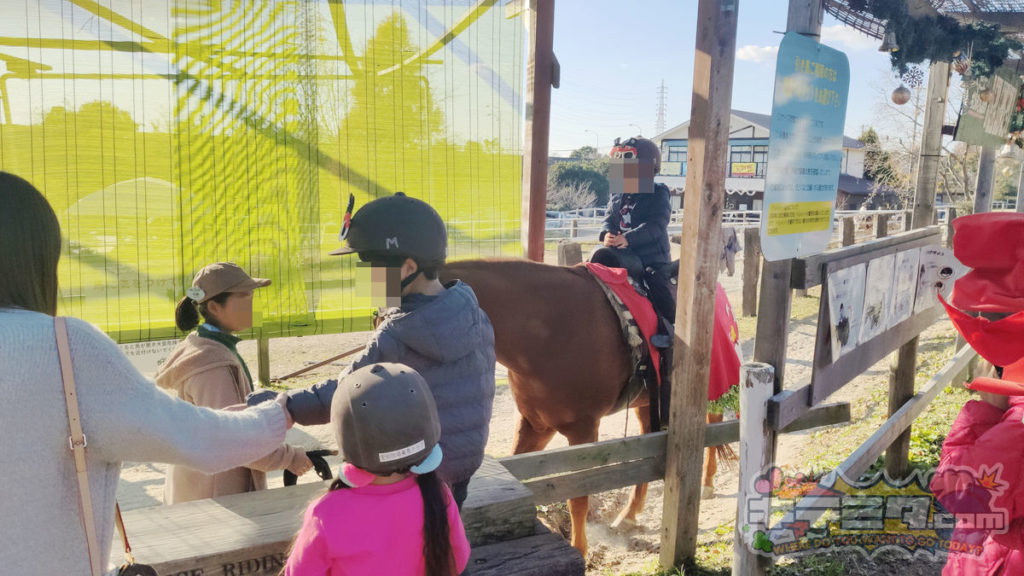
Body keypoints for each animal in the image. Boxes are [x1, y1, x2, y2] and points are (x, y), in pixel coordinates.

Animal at [440, 259, 729, 553]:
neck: (546, 331)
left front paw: (579, 550)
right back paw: (629, 514)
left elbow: (577, 497)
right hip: (648, 404)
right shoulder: (535, 425)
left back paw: (706, 482)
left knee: (714, 422)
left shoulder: (583, 430)